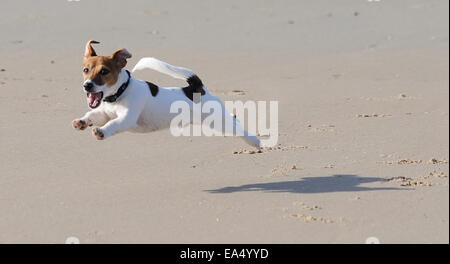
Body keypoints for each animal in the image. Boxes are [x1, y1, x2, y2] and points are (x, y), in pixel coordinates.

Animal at [71, 41, 260, 147]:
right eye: (86, 70)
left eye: (104, 71)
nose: (87, 86)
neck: (119, 94)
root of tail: (197, 88)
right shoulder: (103, 113)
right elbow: (92, 115)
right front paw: (81, 121)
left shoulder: (126, 119)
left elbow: (113, 124)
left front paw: (101, 131)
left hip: (218, 120)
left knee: (237, 126)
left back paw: (255, 141)